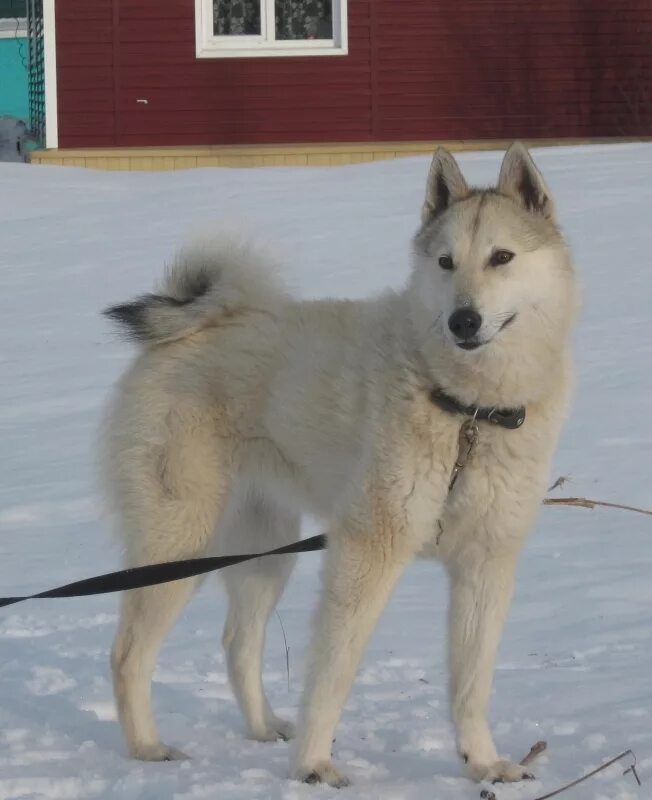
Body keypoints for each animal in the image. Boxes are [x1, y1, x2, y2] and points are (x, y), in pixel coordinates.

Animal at [100, 145, 576, 788]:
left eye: (502, 257)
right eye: (446, 262)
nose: (463, 321)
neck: (468, 410)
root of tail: (194, 327)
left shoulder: (486, 565)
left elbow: (470, 686)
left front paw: (482, 763)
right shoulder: (366, 552)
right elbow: (333, 673)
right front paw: (313, 765)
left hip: (263, 551)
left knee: (238, 643)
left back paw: (262, 728)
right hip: (179, 545)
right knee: (129, 653)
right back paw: (148, 748)